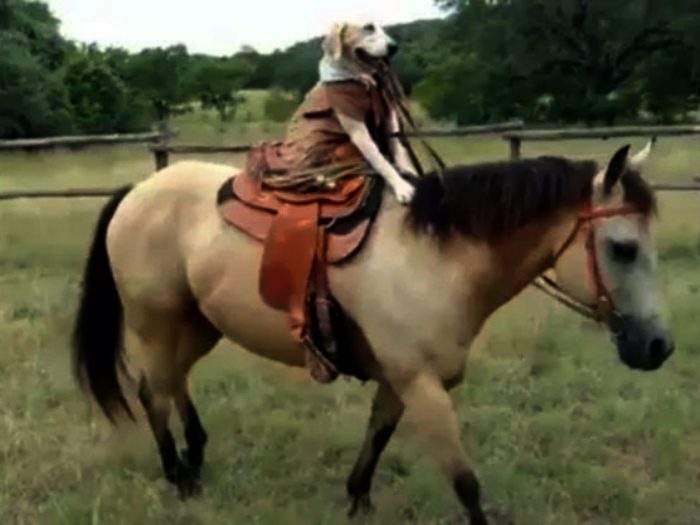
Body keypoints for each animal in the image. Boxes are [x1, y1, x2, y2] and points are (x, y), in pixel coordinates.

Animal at [72, 141, 673, 525]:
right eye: (623, 248)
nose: (659, 347)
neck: (437, 258)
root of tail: (139, 189)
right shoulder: (422, 385)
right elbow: (466, 484)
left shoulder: (398, 380)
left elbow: (377, 438)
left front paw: (356, 500)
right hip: (155, 322)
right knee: (152, 392)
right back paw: (177, 475)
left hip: (198, 323)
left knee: (174, 383)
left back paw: (196, 461)